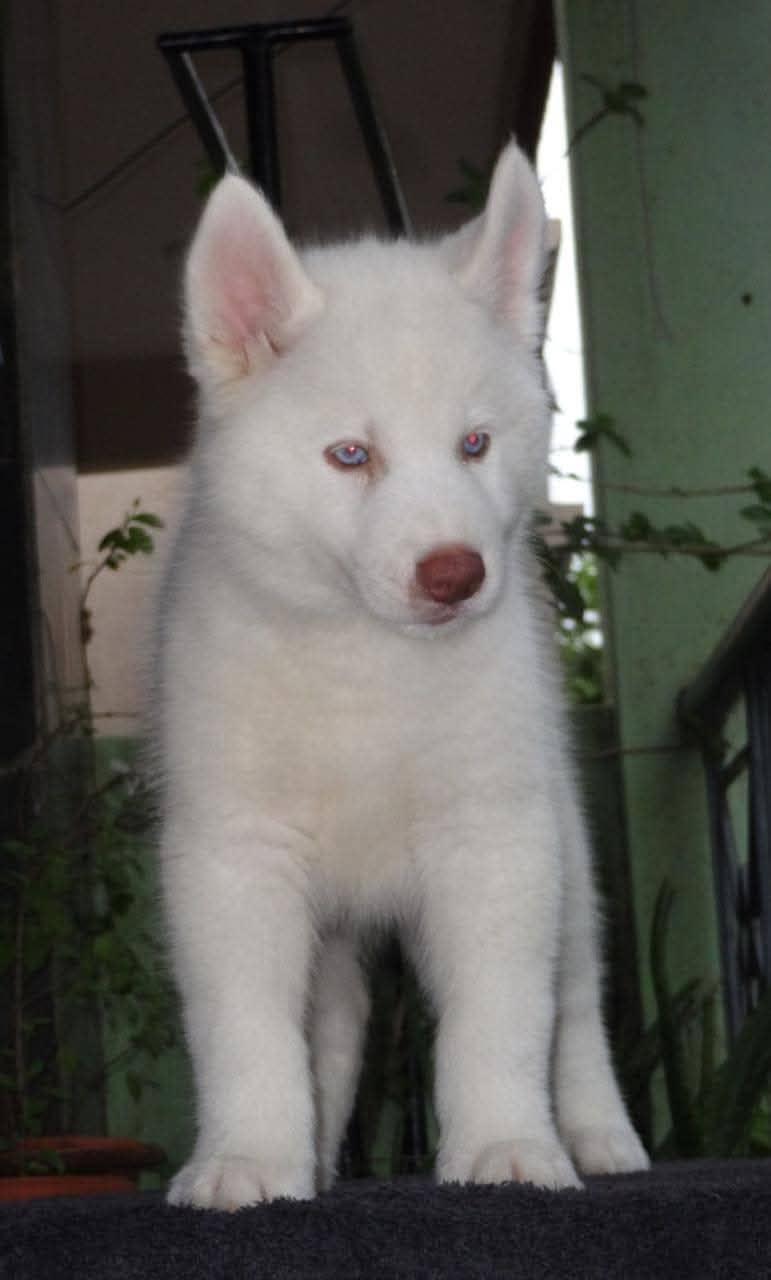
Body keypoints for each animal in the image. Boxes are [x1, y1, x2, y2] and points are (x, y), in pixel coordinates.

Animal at [156, 142, 648, 1208]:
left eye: (475, 443)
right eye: (351, 455)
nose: (455, 575)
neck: (366, 658)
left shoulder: (496, 840)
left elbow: (502, 1018)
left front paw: (506, 1147)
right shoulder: (234, 853)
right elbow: (247, 1029)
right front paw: (249, 1158)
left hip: (566, 849)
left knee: (576, 1003)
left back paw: (598, 1131)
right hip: (335, 937)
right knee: (332, 1035)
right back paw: (315, 1155)